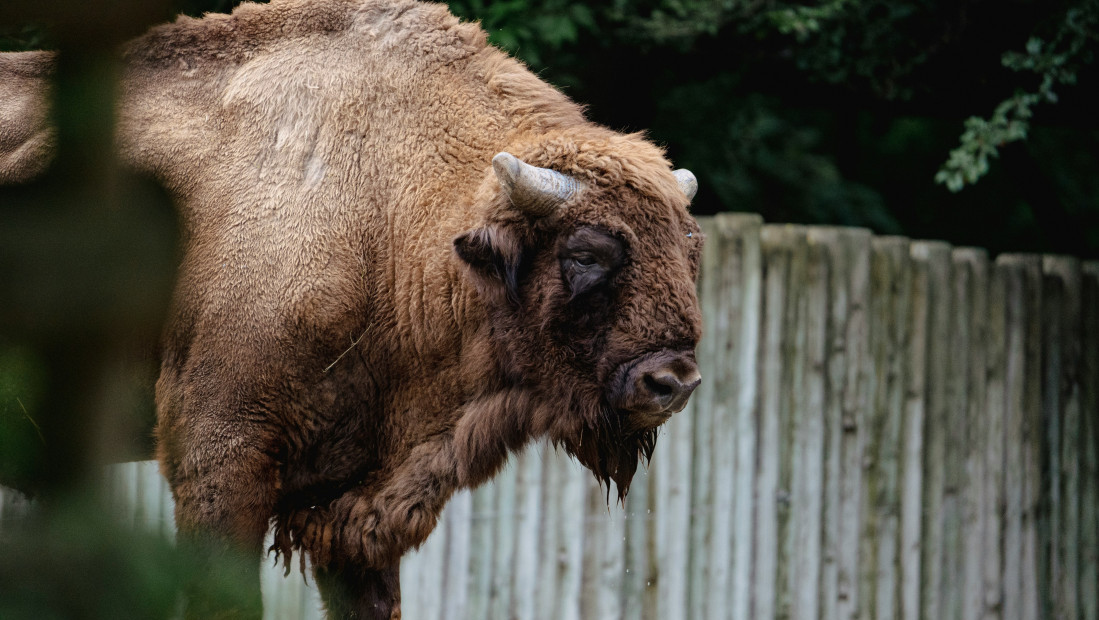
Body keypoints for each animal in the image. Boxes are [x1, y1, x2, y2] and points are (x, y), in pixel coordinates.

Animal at [0, 1, 703, 615]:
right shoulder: (218, 459)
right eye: (586, 252)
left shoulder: (357, 507)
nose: (672, 381)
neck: (388, 216)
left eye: (690, 250)